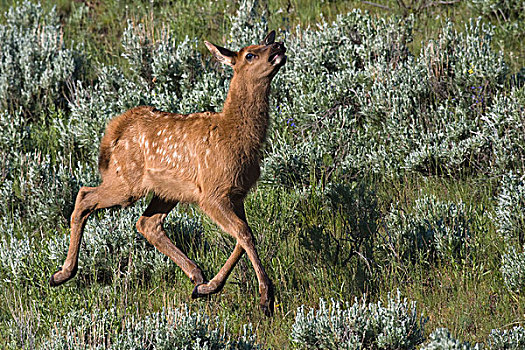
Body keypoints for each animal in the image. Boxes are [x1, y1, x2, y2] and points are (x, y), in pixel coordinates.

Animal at [49, 30, 286, 314]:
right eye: (250, 54)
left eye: (265, 43)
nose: (279, 44)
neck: (235, 136)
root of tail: (115, 130)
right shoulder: (212, 192)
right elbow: (245, 234)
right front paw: (265, 297)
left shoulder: (237, 193)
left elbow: (243, 236)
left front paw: (209, 287)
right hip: (127, 181)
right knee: (85, 195)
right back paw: (61, 274)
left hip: (166, 190)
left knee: (146, 223)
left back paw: (196, 276)